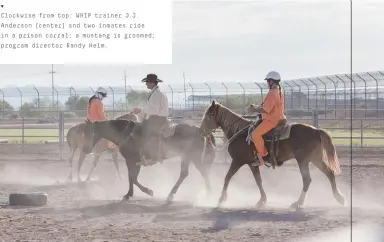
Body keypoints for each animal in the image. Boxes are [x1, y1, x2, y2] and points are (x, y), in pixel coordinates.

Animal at [81, 119, 216, 202]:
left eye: (89, 132)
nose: (85, 149)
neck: (126, 134)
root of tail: (199, 130)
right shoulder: (131, 161)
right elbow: (131, 178)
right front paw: (129, 194)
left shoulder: (133, 160)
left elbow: (133, 178)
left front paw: (147, 191)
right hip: (186, 157)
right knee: (185, 174)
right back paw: (172, 195)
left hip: (193, 156)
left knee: (203, 172)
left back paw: (209, 195)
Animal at [200, 101, 346, 211]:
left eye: (207, 115)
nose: (201, 130)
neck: (239, 131)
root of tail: (316, 131)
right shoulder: (252, 164)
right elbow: (258, 181)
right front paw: (262, 201)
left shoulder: (237, 161)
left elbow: (227, 177)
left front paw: (221, 199)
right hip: (316, 159)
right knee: (329, 173)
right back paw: (339, 198)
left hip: (303, 161)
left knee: (307, 180)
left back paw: (298, 203)